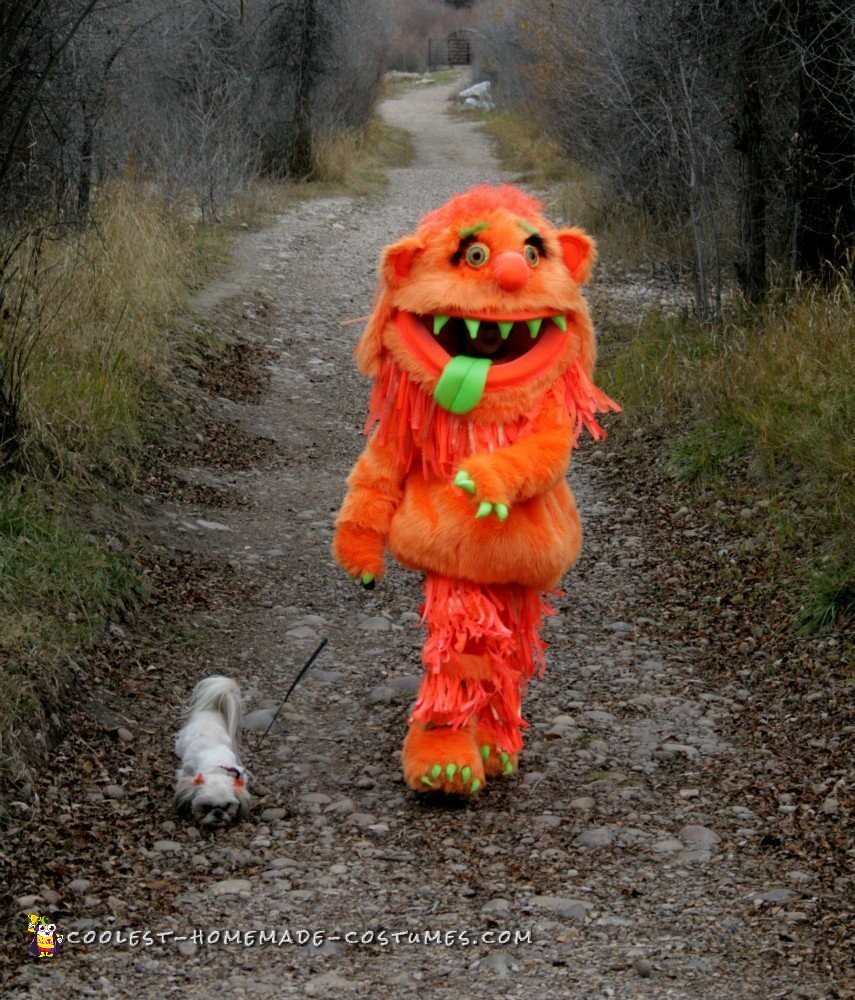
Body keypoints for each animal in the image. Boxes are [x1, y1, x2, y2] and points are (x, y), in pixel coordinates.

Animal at [174, 680, 251, 828]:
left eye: (227, 805)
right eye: (206, 807)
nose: (218, 813)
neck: (215, 767)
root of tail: (212, 709)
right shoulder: (186, 773)